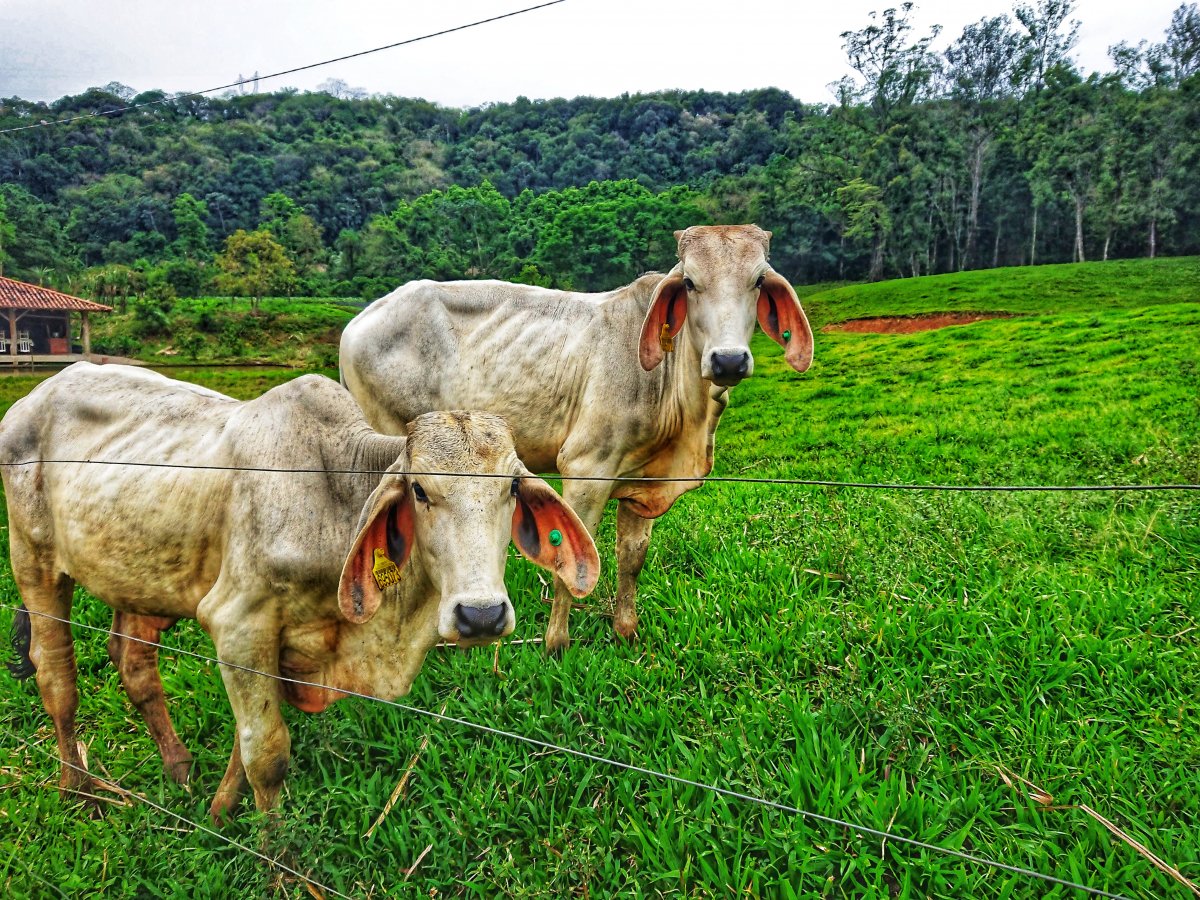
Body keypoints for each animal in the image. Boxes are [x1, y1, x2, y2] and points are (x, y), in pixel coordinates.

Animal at [0, 362, 600, 820]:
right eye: (420, 491)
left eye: (513, 489)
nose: (481, 616)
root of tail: (33, 397)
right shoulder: (239, 626)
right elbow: (266, 755)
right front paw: (276, 864)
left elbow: (245, 744)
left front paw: (219, 811)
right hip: (35, 564)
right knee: (57, 677)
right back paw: (79, 791)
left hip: (140, 579)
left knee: (134, 663)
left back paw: (178, 768)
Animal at [338, 222, 816, 652]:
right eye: (690, 282)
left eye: (758, 280)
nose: (728, 360)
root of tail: (357, 322)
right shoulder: (586, 470)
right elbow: (570, 559)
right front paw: (556, 644)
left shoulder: (642, 483)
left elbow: (631, 558)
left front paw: (626, 631)